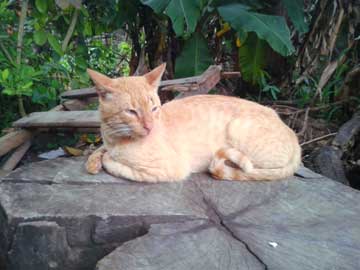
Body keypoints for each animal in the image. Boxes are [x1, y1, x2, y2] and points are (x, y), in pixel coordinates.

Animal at [85, 63, 300, 182]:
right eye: (131, 111)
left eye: (154, 109)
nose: (149, 127)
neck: (115, 139)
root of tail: (295, 136)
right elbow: (99, 151)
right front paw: (93, 160)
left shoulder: (169, 169)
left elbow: (113, 163)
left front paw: (104, 160)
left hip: (239, 133)